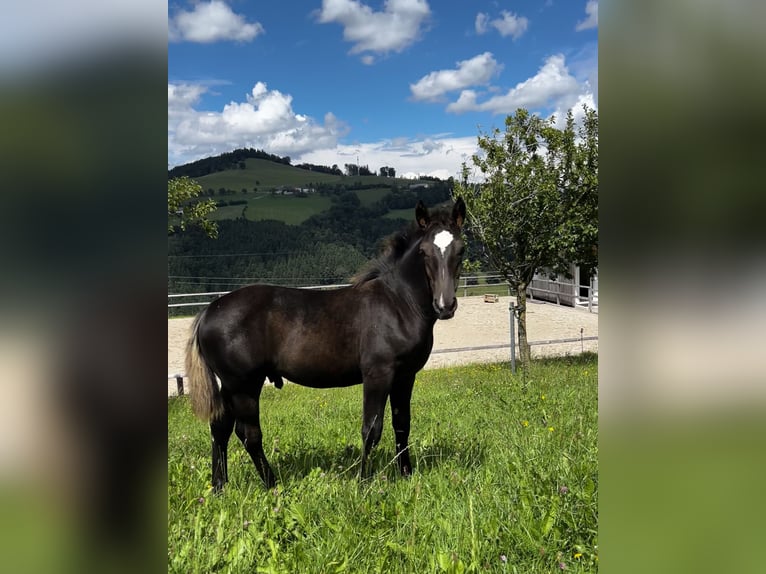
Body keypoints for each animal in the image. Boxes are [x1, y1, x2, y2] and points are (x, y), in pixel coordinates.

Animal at [185, 198, 466, 490]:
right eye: (424, 252)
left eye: (461, 249)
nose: (445, 305)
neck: (398, 303)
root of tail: (208, 311)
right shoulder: (378, 373)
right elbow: (371, 429)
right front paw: (363, 482)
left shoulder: (405, 375)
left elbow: (402, 424)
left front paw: (406, 475)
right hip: (244, 385)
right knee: (248, 433)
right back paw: (273, 485)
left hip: (230, 385)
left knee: (220, 428)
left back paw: (219, 486)